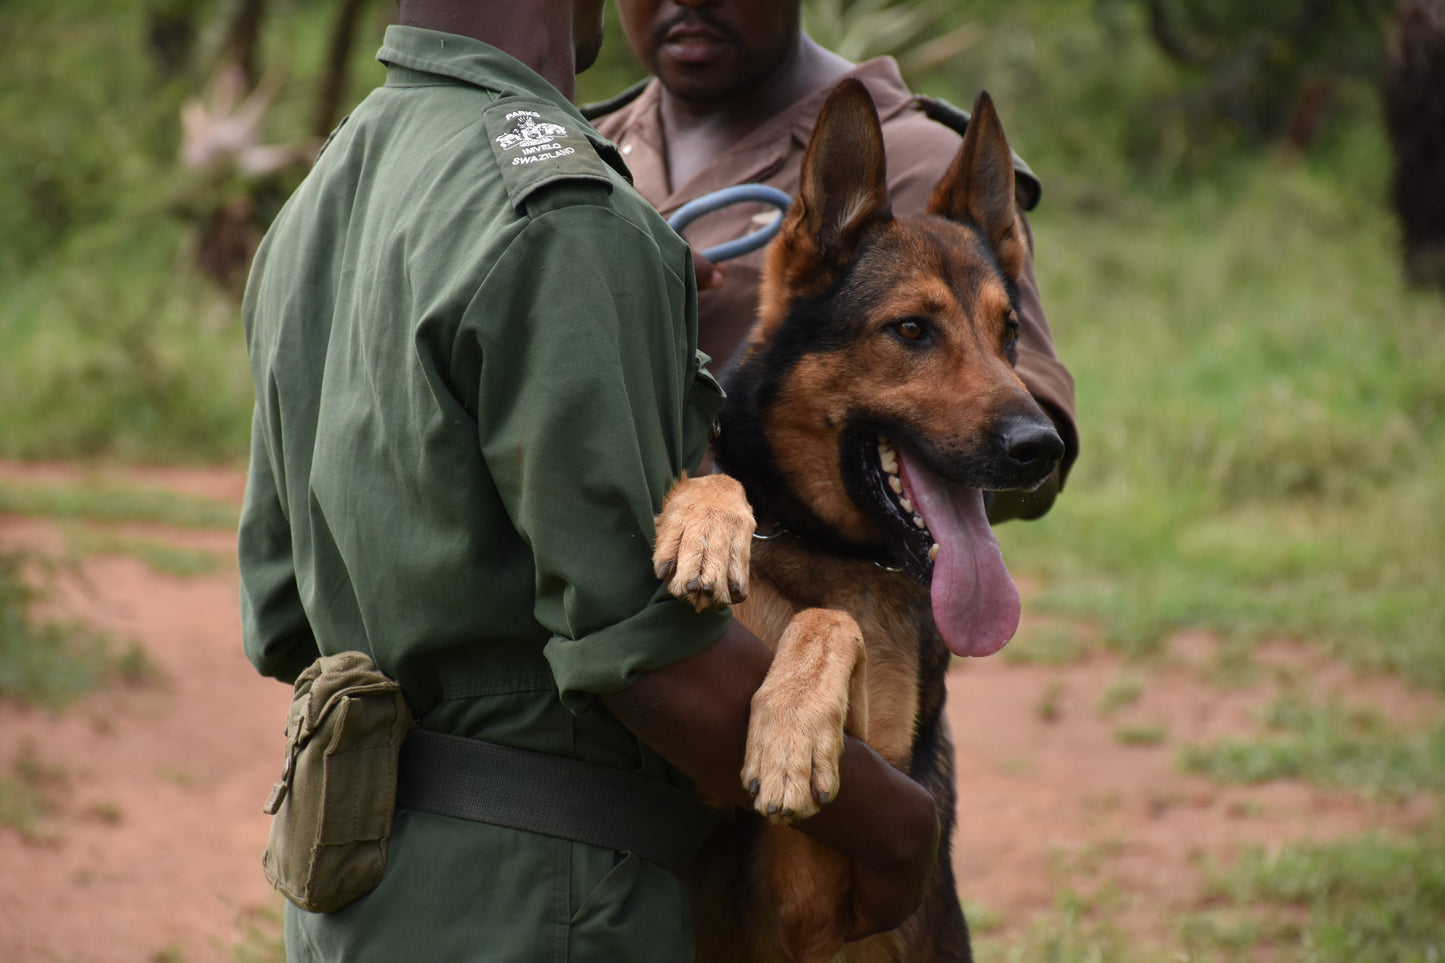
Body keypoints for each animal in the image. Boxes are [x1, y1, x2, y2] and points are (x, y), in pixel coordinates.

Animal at [656, 78, 1063, 954]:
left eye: (1009, 332)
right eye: (910, 329)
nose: (1040, 446)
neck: (822, 548)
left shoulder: (829, 891)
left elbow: (829, 623)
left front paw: (789, 728)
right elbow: (719, 477)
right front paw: (704, 525)